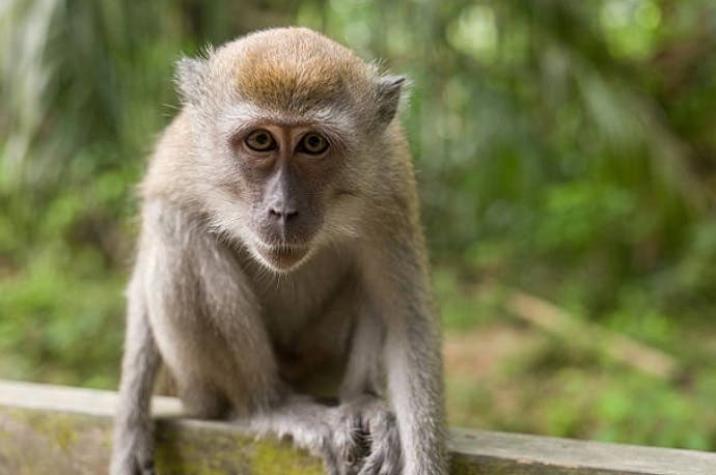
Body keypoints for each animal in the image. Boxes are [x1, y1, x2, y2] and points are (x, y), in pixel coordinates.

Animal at [109, 27, 448, 475]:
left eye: (313, 144)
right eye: (260, 140)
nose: (283, 210)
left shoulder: (390, 186)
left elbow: (405, 320)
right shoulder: (175, 162)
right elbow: (142, 290)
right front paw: (130, 431)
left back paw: (360, 400)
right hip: (197, 387)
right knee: (176, 227)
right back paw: (266, 406)